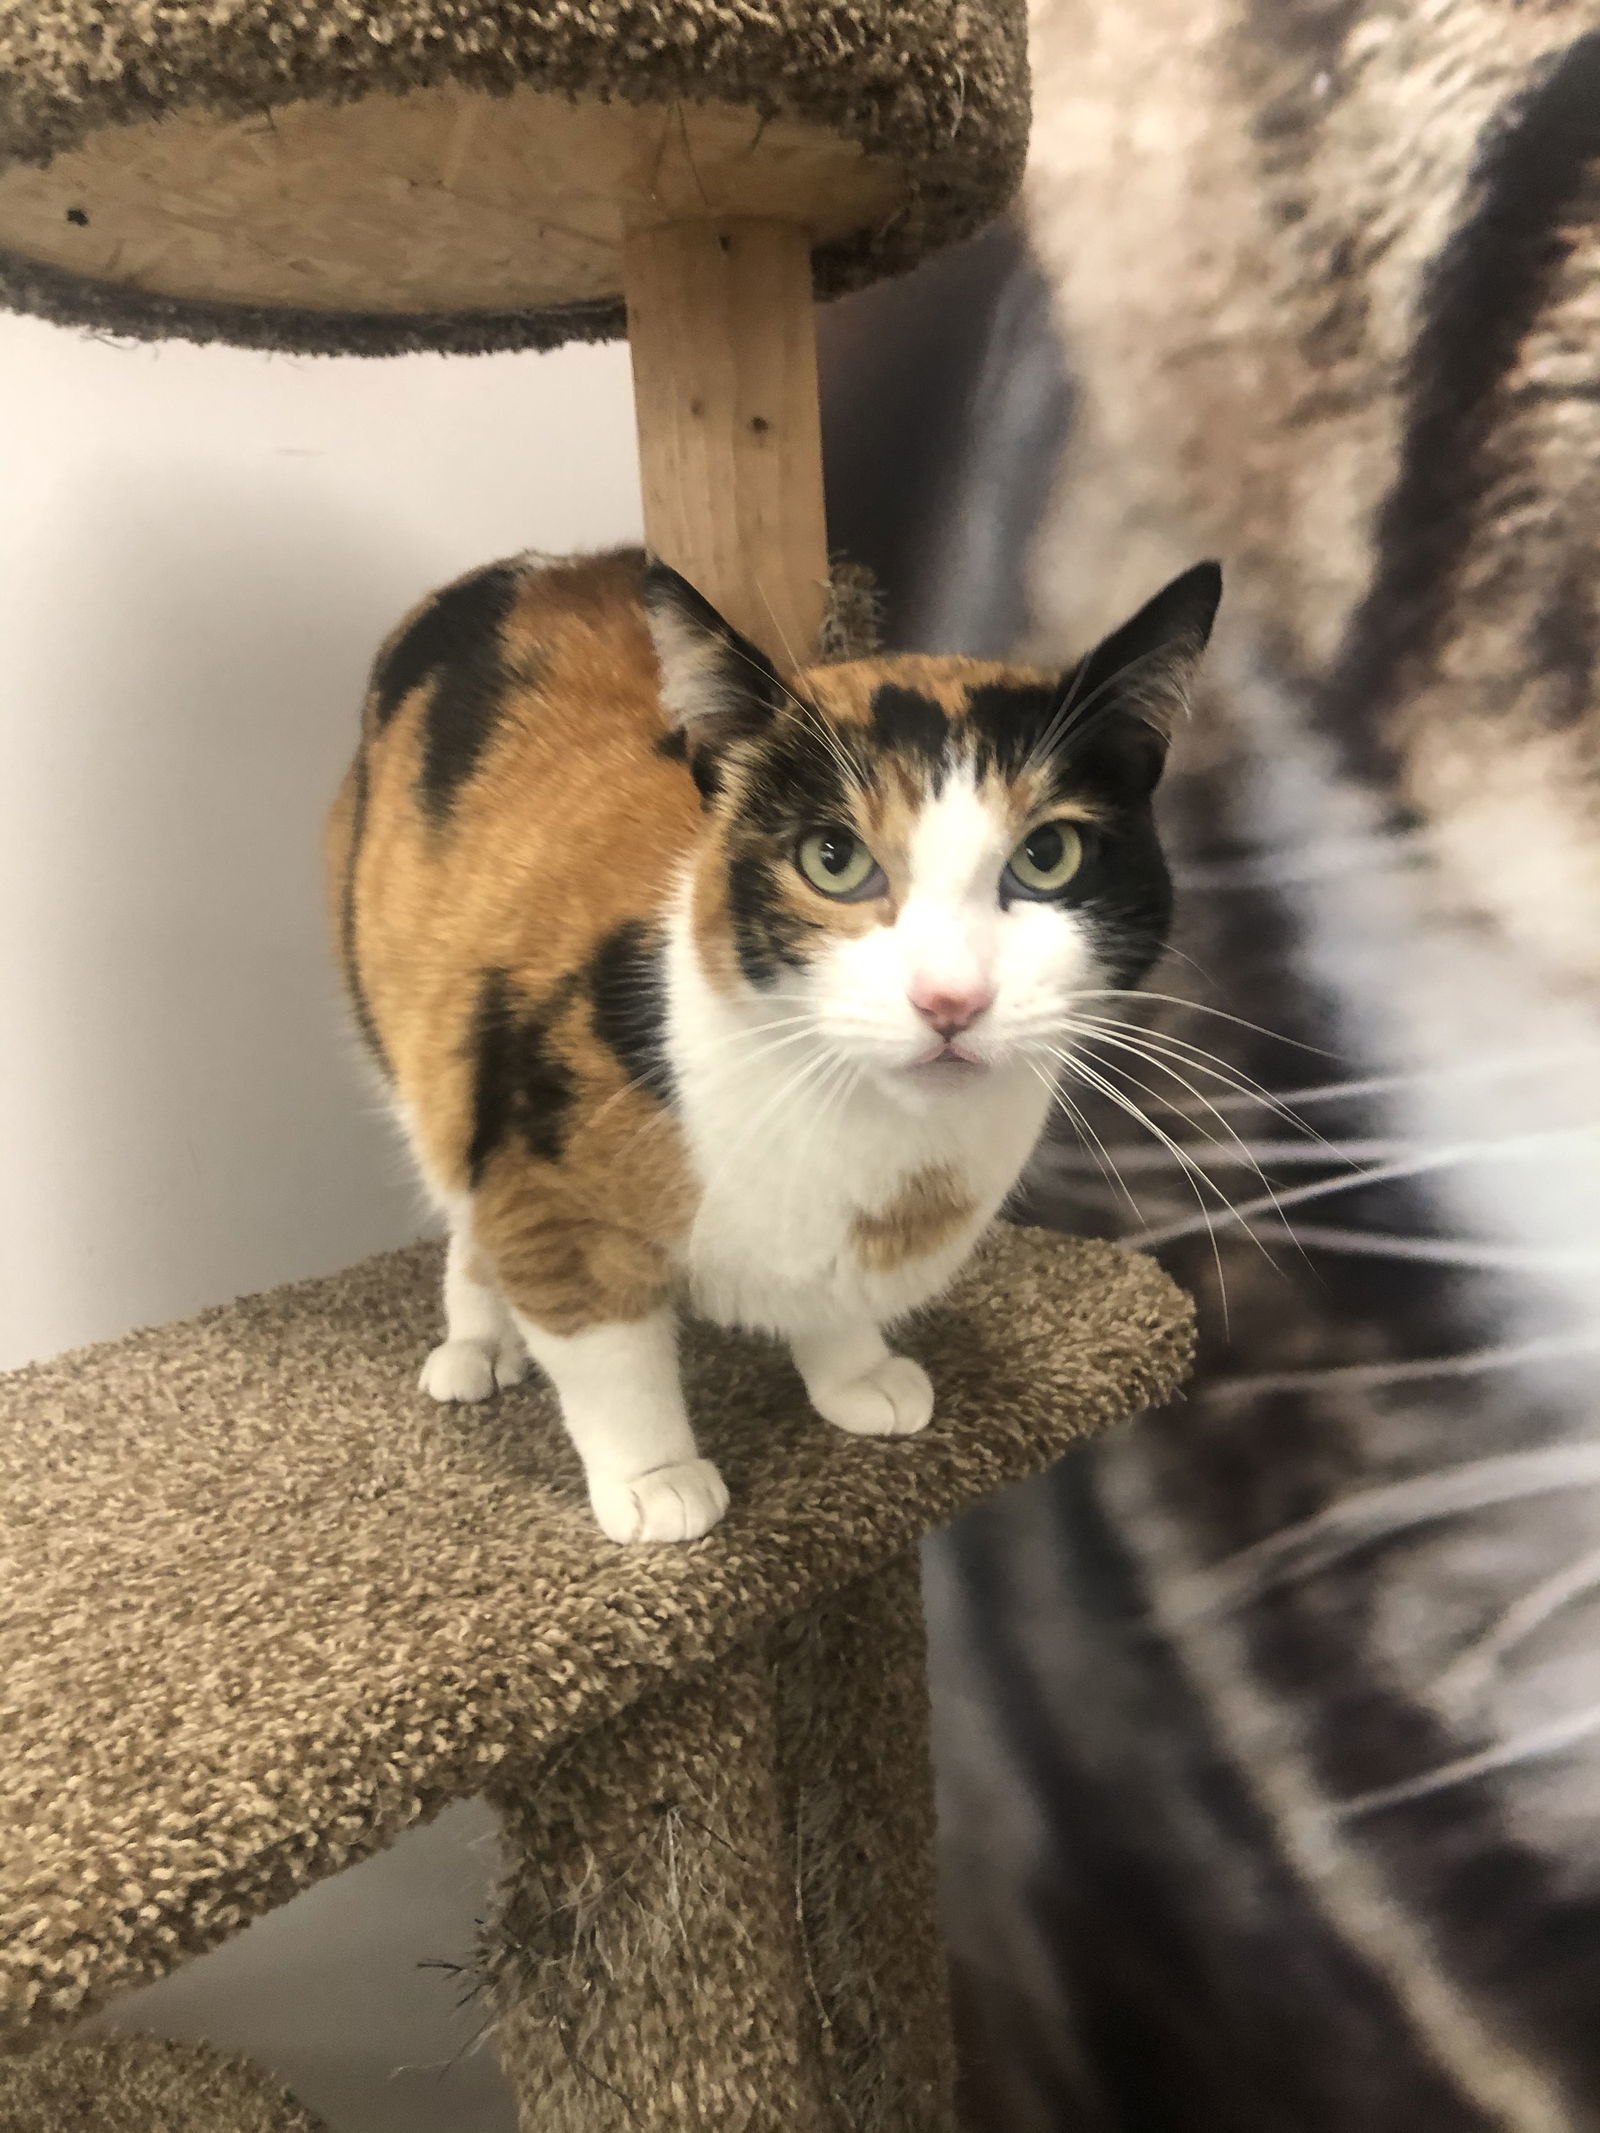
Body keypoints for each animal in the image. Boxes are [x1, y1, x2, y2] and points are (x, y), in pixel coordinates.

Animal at [332, 550, 1220, 1544]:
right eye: (833, 860)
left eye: (1049, 856)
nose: (950, 998)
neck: (876, 1138)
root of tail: (524, 566)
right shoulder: (548, 1172)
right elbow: (604, 1346)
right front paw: (657, 1479)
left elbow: (833, 1298)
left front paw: (857, 1373)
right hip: (418, 1037)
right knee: (458, 1188)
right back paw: (476, 1342)